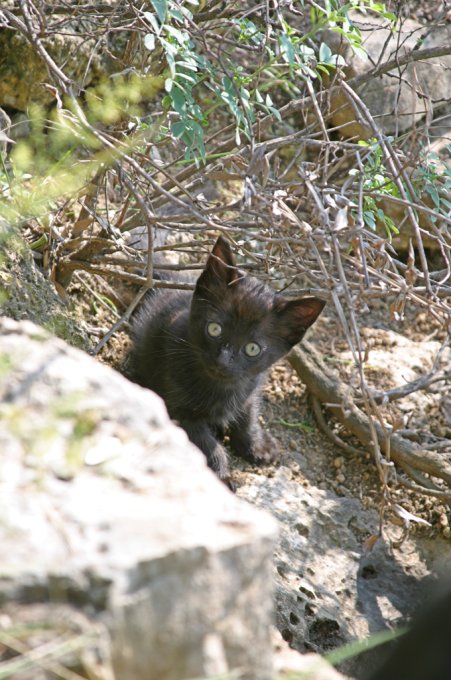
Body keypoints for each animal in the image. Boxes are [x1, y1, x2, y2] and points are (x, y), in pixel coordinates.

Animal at [126, 238, 324, 484]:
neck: (220, 388)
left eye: (252, 348)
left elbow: (248, 416)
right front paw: (221, 475)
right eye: (214, 329)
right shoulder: (177, 408)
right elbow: (205, 443)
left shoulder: (250, 389)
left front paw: (257, 445)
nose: (223, 361)